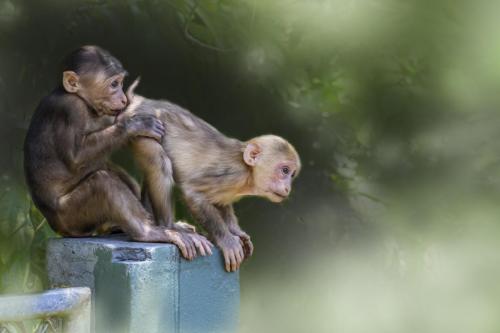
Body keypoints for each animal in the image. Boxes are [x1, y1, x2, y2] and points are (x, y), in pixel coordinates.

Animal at [23, 46, 211, 260]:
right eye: (114, 84)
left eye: (120, 83)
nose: (123, 98)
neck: (84, 102)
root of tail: (59, 230)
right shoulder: (70, 109)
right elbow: (76, 158)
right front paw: (135, 125)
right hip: (71, 218)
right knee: (103, 183)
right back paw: (148, 232)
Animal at [124, 80, 300, 270]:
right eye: (284, 171)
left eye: (292, 174)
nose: (288, 187)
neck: (247, 172)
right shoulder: (229, 175)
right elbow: (193, 193)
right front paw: (227, 240)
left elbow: (221, 203)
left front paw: (236, 231)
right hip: (144, 131)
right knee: (159, 162)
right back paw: (169, 226)